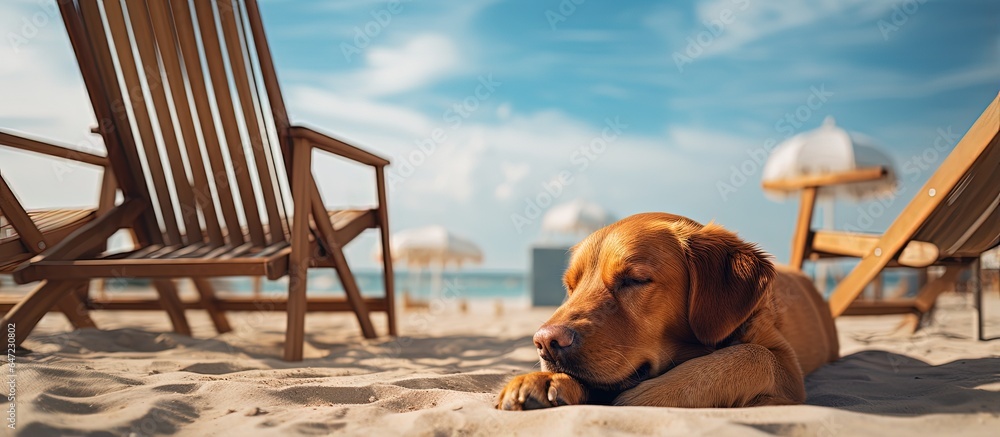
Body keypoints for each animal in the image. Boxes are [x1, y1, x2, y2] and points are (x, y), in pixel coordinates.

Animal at [498, 212, 836, 408]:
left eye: (634, 279)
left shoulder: (787, 367)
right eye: (570, 287)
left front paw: (645, 397)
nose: (545, 342)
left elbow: (752, 353)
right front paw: (542, 380)